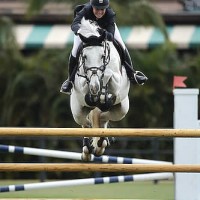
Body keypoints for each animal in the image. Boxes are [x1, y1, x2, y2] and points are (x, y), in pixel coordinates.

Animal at [70, 17, 130, 161]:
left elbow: (107, 73)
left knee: (102, 117)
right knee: (86, 123)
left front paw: (102, 95)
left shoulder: (118, 82)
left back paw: (100, 143)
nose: (94, 87)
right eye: (84, 57)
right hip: (77, 111)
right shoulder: (80, 82)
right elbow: (87, 89)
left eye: (102, 56)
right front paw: (95, 94)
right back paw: (88, 149)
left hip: (121, 109)